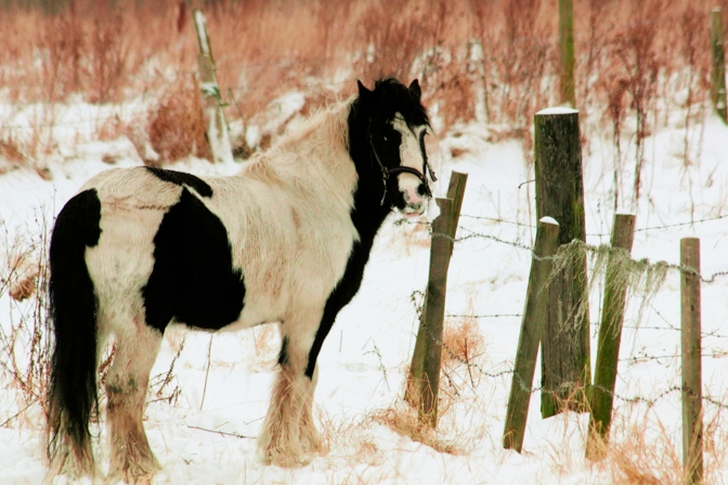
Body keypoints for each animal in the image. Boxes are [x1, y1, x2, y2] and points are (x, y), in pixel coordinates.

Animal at [45, 78, 435, 483]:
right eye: (385, 134)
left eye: (422, 132)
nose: (416, 195)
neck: (318, 198)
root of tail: (88, 201)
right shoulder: (309, 317)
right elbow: (297, 379)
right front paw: (286, 453)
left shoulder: (309, 320)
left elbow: (309, 378)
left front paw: (308, 445)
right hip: (141, 325)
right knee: (124, 386)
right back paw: (140, 467)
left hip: (97, 322)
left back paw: (77, 465)